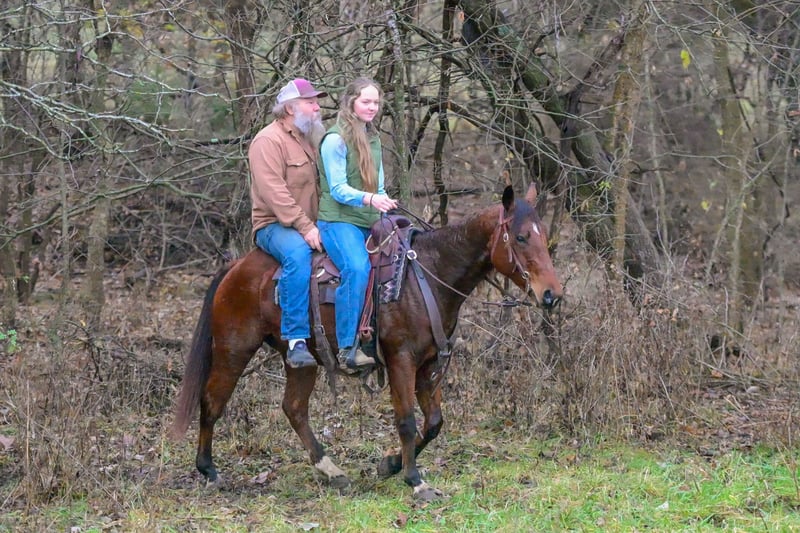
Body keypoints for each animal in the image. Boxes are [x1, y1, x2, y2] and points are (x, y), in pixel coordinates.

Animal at [168, 184, 562, 500]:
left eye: (543, 237)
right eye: (521, 237)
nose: (551, 294)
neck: (427, 277)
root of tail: (235, 268)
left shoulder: (430, 364)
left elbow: (434, 422)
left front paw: (390, 464)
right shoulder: (401, 360)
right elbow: (406, 420)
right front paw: (415, 480)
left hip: (302, 359)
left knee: (294, 408)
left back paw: (330, 470)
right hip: (233, 349)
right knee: (212, 401)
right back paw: (209, 470)